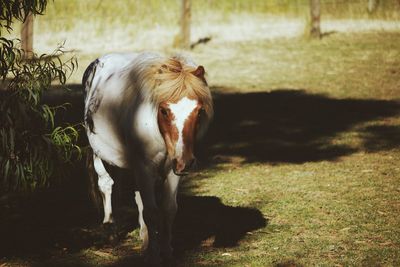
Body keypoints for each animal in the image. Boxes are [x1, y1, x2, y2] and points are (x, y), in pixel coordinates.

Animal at [81, 52, 212, 266]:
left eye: (199, 111)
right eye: (164, 110)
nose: (186, 161)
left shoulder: (172, 171)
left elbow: (168, 209)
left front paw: (166, 251)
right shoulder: (145, 168)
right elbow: (151, 212)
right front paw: (153, 255)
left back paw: (144, 238)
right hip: (98, 154)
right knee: (106, 184)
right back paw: (110, 228)